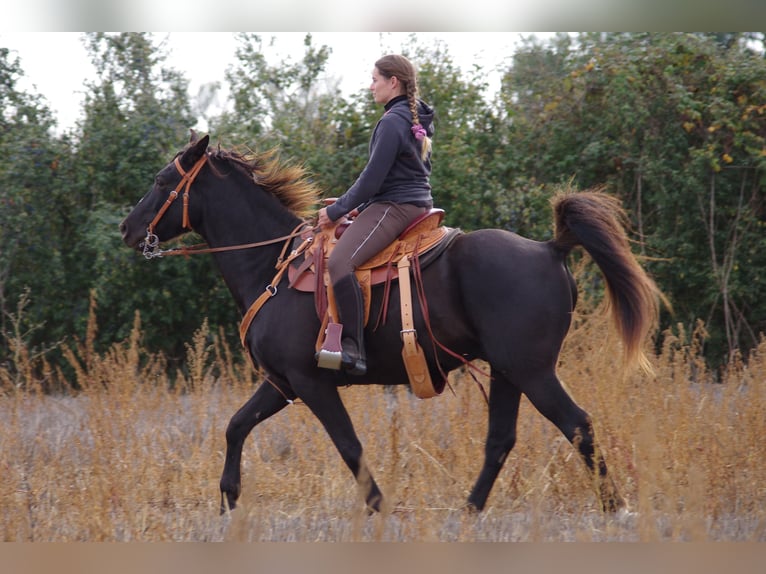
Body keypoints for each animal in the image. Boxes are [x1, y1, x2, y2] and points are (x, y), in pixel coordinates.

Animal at [118, 132, 660, 516]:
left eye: (164, 182)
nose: (127, 228)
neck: (273, 265)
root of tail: (550, 247)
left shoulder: (312, 383)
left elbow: (349, 447)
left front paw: (380, 507)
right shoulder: (281, 383)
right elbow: (236, 426)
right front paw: (229, 498)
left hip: (533, 371)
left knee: (578, 426)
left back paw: (615, 508)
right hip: (509, 373)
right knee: (501, 441)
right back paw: (467, 511)